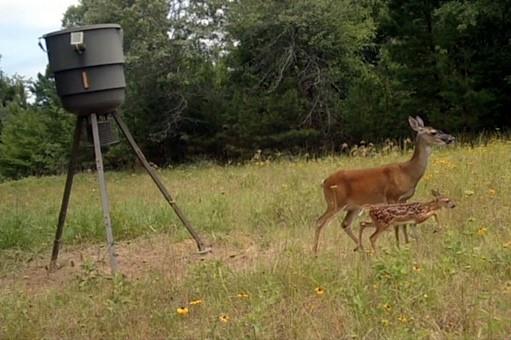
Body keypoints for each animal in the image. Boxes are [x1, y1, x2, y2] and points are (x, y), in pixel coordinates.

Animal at [314, 115, 454, 254]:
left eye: (438, 129)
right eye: (433, 132)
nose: (451, 138)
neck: (408, 172)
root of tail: (325, 182)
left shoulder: (404, 199)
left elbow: (404, 223)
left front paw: (407, 243)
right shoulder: (392, 196)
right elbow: (398, 223)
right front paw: (398, 245)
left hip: (354, 206)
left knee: (345, 224)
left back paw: (361, 249)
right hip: (335, 202)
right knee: (320, 221)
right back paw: (315, 252)